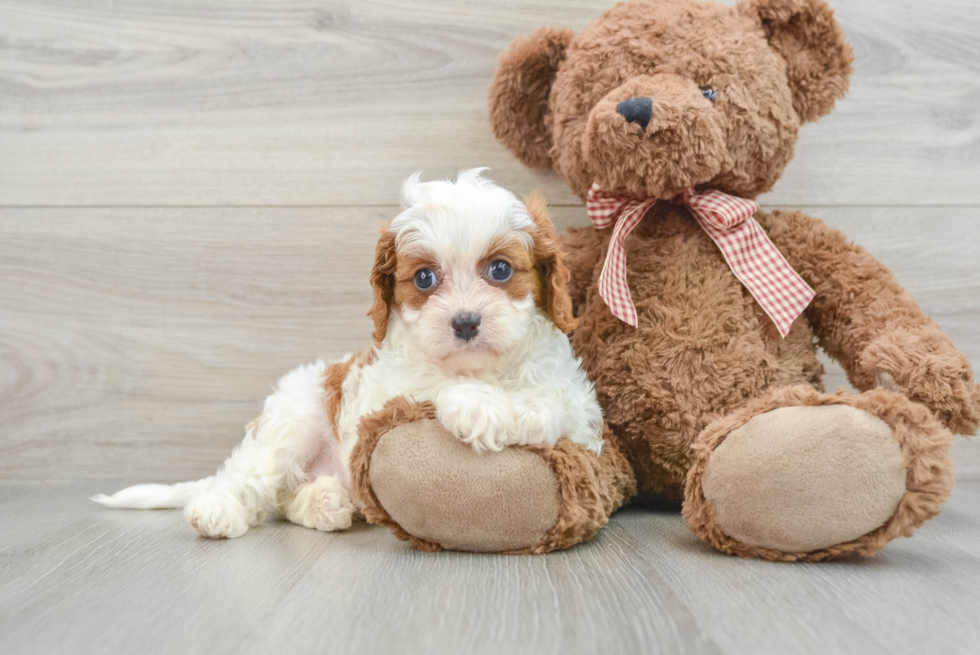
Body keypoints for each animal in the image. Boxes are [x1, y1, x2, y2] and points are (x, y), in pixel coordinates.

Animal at [92, 169, 600, 540]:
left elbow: (547, 403)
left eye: (500, 269)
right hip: (293, 419)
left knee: (285, 499)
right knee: (250, 476)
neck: (481, 369)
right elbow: (434, 389)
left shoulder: (578, 408)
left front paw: (488, 408)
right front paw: (470, 402)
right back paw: (219, 510)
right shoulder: (389, 391)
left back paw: (325, 502)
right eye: (424, 278)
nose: (465, 322)